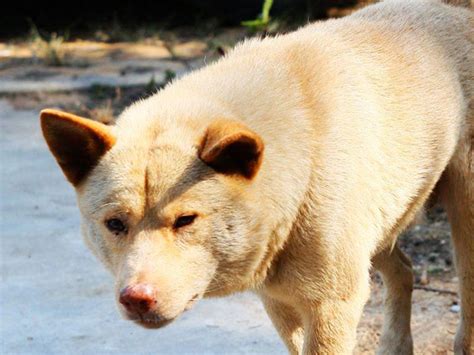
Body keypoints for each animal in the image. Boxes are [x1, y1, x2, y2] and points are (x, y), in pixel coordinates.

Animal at [39, 1, 472, 354]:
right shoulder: (281, 300)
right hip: (380, 221)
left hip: (459, 218)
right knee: (404, 270)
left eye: (186, 220)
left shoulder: (332, 304)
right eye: (114, 224)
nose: (136, 299)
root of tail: (453, 10)